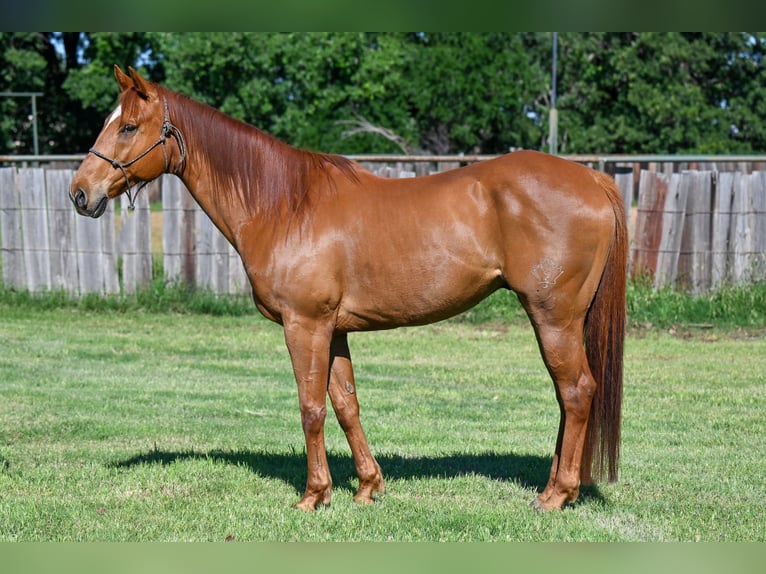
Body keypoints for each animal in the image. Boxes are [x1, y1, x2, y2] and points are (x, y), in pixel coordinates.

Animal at [70, 65, 627, 512]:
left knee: (576, 391)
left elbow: (311, 407)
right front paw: (366, 487)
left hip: (553, 316)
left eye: (128, 126)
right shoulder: (335, 330)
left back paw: (557, 495)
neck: (285, 205)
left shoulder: (305, 325)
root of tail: (593, 180)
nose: (80, 193)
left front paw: (314, 496)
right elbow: (345, 404)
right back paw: (555, 487)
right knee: (567, 396)